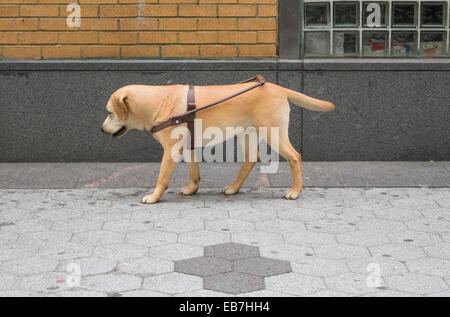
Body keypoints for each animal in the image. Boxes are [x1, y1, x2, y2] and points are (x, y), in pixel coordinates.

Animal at [102, 78, 334, 202]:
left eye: (110, 113)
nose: (101, 130)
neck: (158, 101)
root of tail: (277, 87)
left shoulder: (170, 150)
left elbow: (162, 178)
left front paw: (154, 196)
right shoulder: (187, 148)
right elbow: (194, 172)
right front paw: (192, 189)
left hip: (273, 133)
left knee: (294, 157)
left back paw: (295, 191)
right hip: (247, 134)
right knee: (251, 159)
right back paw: (233, 187)